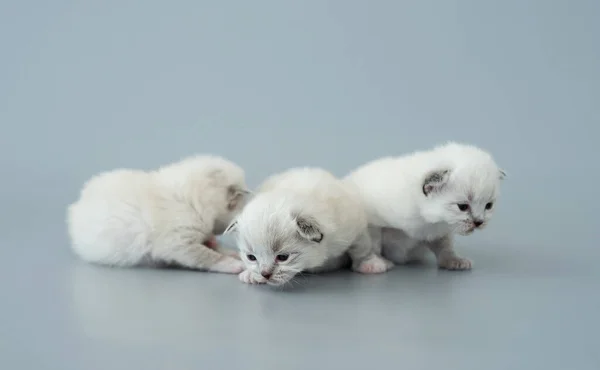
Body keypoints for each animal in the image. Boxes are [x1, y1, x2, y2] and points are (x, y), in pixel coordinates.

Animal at [66, 155, 251, 274]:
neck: (192, 199)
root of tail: (77, 205)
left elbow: (213, 247)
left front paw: (228, 251)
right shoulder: (177, 243)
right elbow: (206, 256)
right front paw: (233, 263)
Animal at [224, 168, 394, 286]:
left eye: (283, 257)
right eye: (251, 257)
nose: (265, 275)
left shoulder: (354, 226)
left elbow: (361, 247)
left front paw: (369, 264)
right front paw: (250, 274)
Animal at [342, 143, 506, 270]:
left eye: (488, 205)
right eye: (462, 207)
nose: (479, 222)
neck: (424, 219)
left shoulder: (438, 231)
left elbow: (445, 246)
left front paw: (454, 260)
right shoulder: (372, 221)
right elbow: (371, 244)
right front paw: (374, 264)